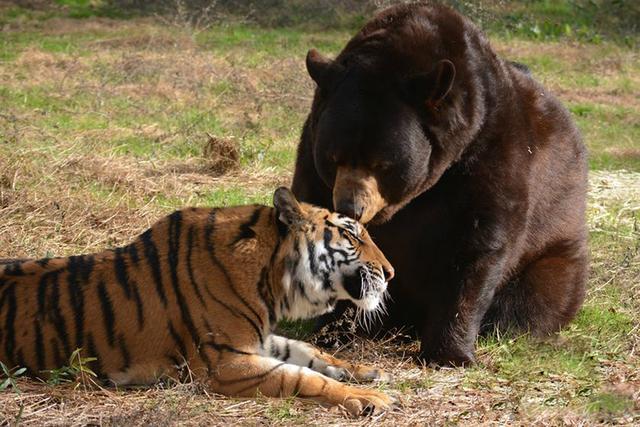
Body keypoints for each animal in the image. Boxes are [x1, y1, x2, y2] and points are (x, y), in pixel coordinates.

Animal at [0, 187, 398, 414]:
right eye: (352, 235)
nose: (391, 272)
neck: (272, 281)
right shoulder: (226, 363)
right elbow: (302, 377)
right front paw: (367, 398)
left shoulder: (255, 339)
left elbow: (307, 351)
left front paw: (363, 371)